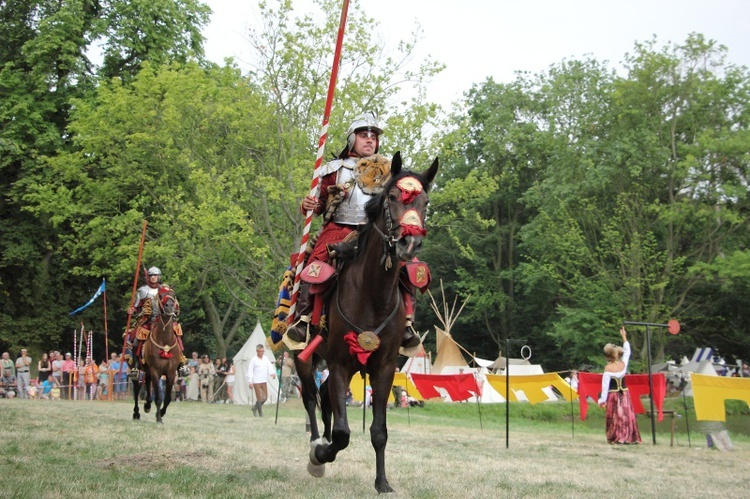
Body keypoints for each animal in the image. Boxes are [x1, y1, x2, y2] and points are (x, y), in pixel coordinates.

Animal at [134, 292, 184, 424]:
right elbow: (158, 397)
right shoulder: (155, 371)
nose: (169, 306)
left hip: (148, 370)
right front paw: (159, 418)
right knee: (136, 388)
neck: (164, 340)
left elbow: (167, 398)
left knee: (147, 382)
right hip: (137, 370)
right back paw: (136, 413)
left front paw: (160, 413)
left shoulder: (170, 373)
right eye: (161, 295)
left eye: (173, 294)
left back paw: (147, 405)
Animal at [296, 153, 440, 496]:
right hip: (301, 355)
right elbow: (343, 433)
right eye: (392, 197)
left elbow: (378, 431)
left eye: (425, 202)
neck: (372, 295)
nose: (409, 241)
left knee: (323, 398)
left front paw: (382, 482)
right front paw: (321, 455)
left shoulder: (383, 367)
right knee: (309, 396)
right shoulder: (338, 363)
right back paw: (316, 447)